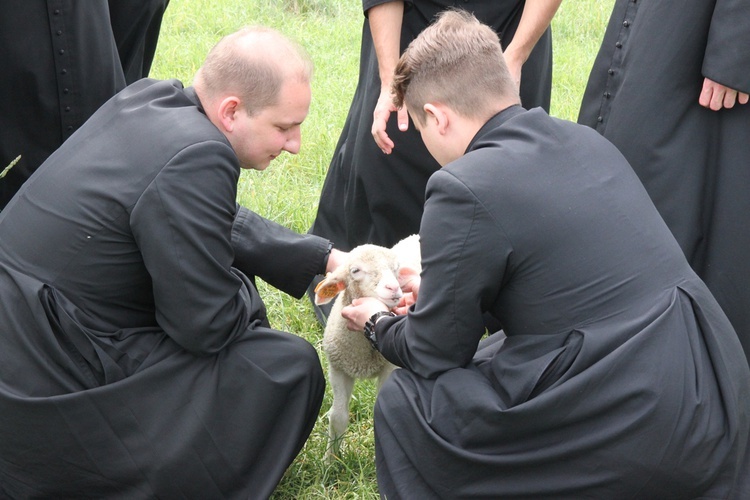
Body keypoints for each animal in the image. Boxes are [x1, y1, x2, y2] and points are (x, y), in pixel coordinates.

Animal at [312, 235, 424, 460]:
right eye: (355, 270)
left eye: (396, 269)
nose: (394, 288)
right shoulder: (338, 368)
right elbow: (338, 416)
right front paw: (330, 460)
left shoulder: (390, 368)